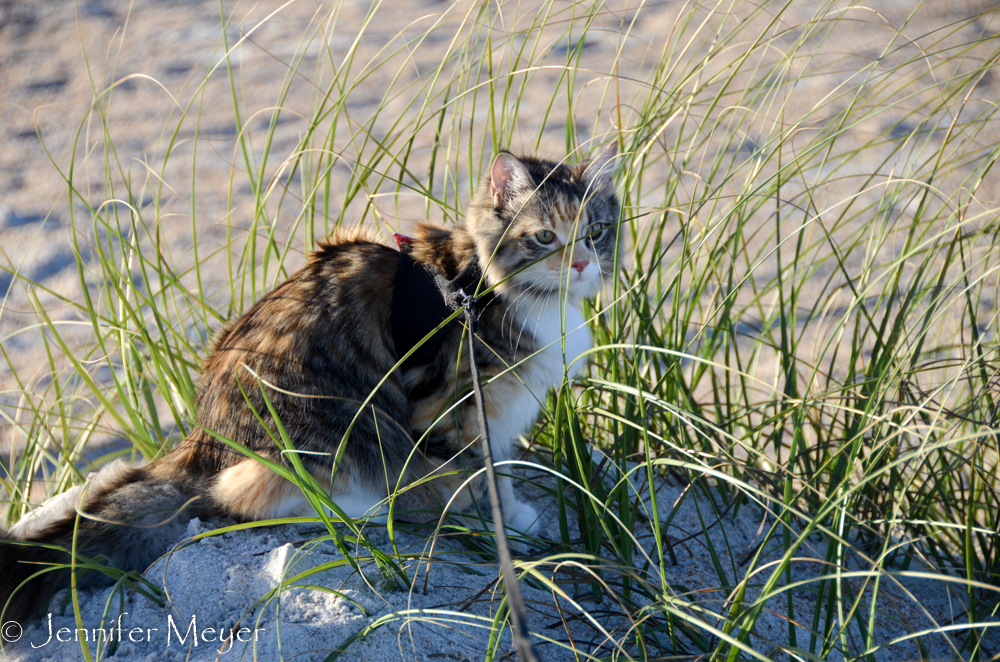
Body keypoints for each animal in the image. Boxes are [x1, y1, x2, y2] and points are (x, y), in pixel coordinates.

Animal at [0, 143, 620, 624]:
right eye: (544, 237)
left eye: (596, 232)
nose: (583, 263)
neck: (486, 286)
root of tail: (203, 437)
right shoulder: (454, 407)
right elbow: (484, 475)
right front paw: (504, 527)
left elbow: (502, 467)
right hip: (337, 427)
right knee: (257, 499)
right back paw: (377, 504)